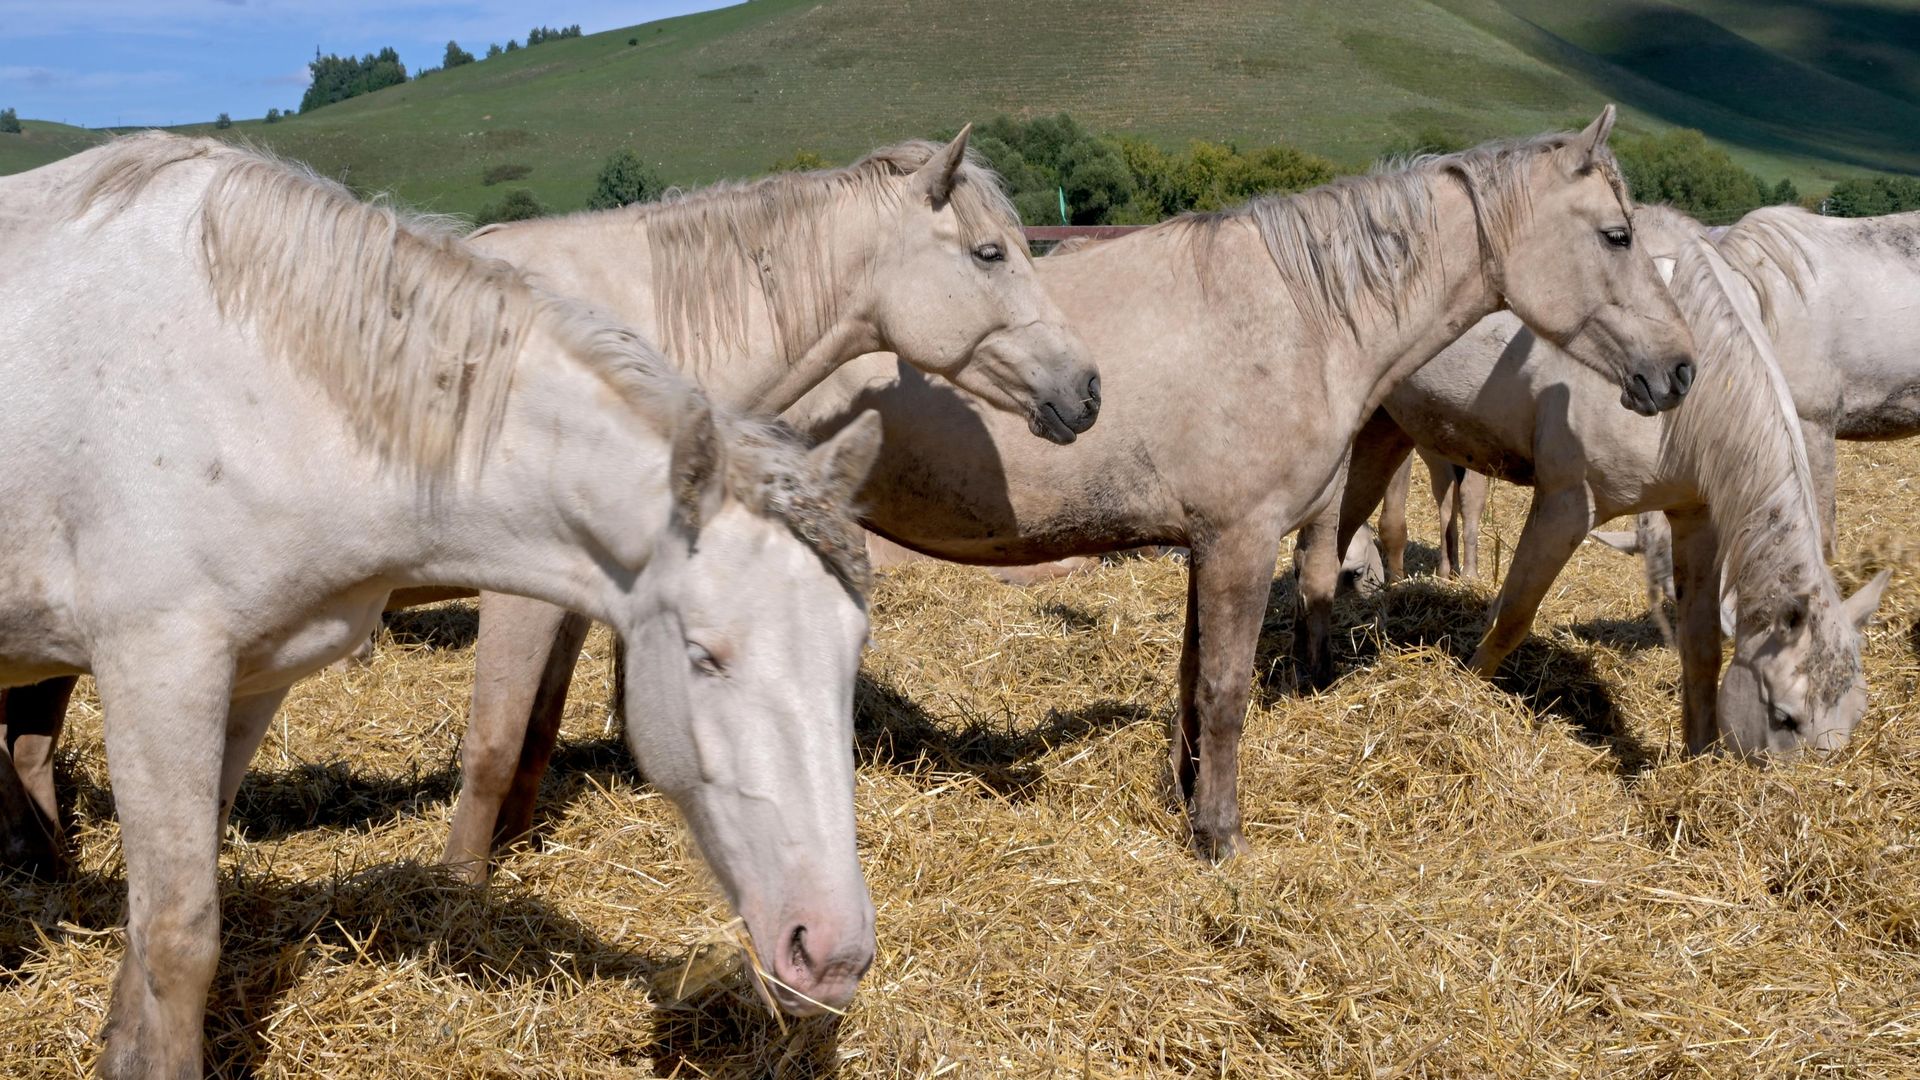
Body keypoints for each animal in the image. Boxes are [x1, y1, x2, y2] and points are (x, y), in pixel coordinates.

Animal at [0, 134, 884, 1075]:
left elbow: (161, 922)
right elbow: (177, 937)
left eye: (850, 657)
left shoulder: (250, 679)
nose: (831, 953)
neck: (262, 385)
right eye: (704, 656)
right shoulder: (157, 672)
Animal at [1294, 206, 1888, 756]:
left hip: (1389, 430)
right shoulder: (1565, 507)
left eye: (1854, 718)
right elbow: (1513, 616)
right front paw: (1466, 696)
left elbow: (1701, 649)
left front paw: (1696, 755)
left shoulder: (1696, 521)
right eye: (1785, 716)